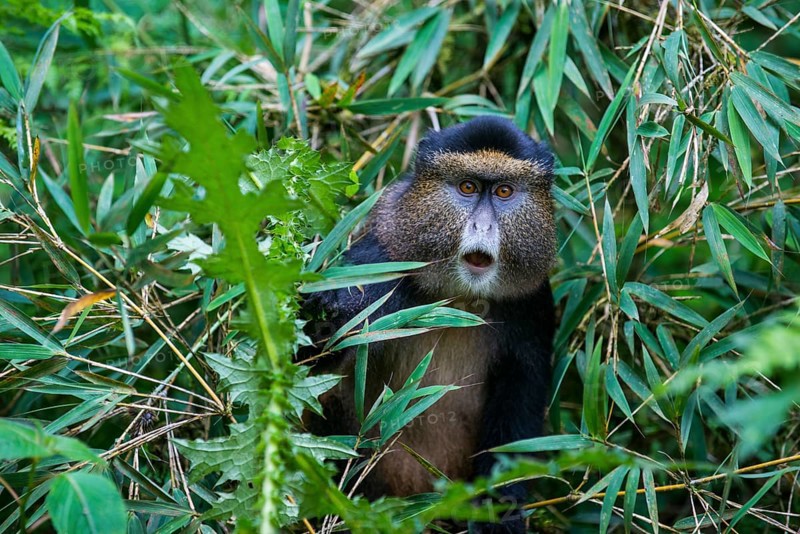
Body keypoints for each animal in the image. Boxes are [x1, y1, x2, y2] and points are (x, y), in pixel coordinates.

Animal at [303, 116, 556, 533]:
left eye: (504, 191)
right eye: (468, 187)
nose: (483, 227)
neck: (456, 299)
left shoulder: (533, 305)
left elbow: (519, 404)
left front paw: (500, 513)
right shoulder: (377, 269)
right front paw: (325, 320)